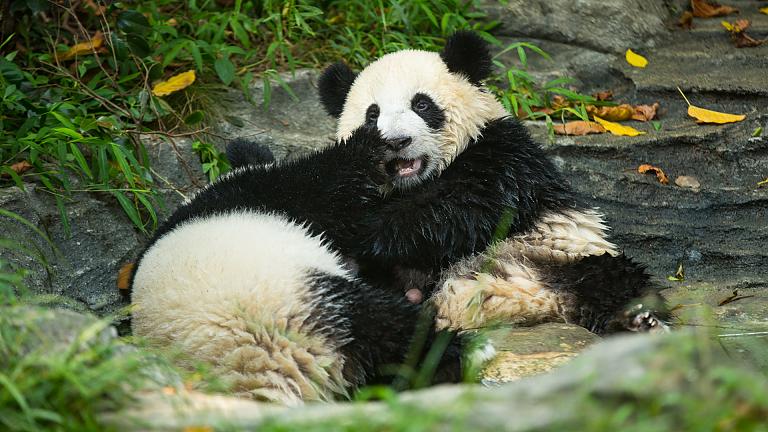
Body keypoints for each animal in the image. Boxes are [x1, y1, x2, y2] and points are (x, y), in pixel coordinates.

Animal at [130, 126, 465, 405]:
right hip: (295, 300)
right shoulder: (272, 194)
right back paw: (449, 352)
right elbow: (328, 184)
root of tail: (266, 371)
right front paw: (371, 140)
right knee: (390, 328)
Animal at [316, 31, 669, 334]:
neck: (418, 182)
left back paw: (637, 322)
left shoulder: (507, 154)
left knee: (617, 281)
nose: (396, 141)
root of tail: (538, 302)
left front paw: (364, 229)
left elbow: (468, 207)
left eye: (422, 104)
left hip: (569, 254)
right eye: (372, 115)